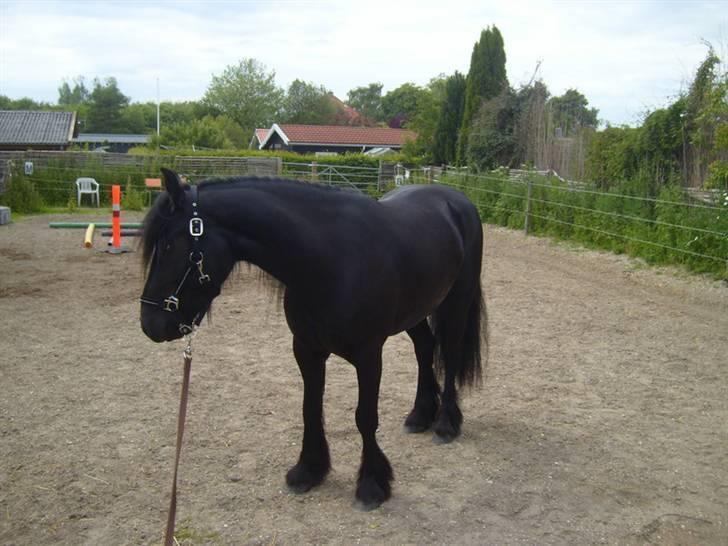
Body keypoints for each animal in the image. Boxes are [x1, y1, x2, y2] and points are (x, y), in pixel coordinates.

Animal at [140, 168, 487, 509]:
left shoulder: (369, 355)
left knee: (451, 354)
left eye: (168, 246)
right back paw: (420, 415)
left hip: (457, 302)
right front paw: (308, 470)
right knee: (425, 348)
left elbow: (365, 417)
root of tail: (456, 199)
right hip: (415, 311)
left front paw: (372, 485)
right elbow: (310, 408)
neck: (329, 260)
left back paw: (445, 424)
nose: (150, 324)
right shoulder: (306, 350)